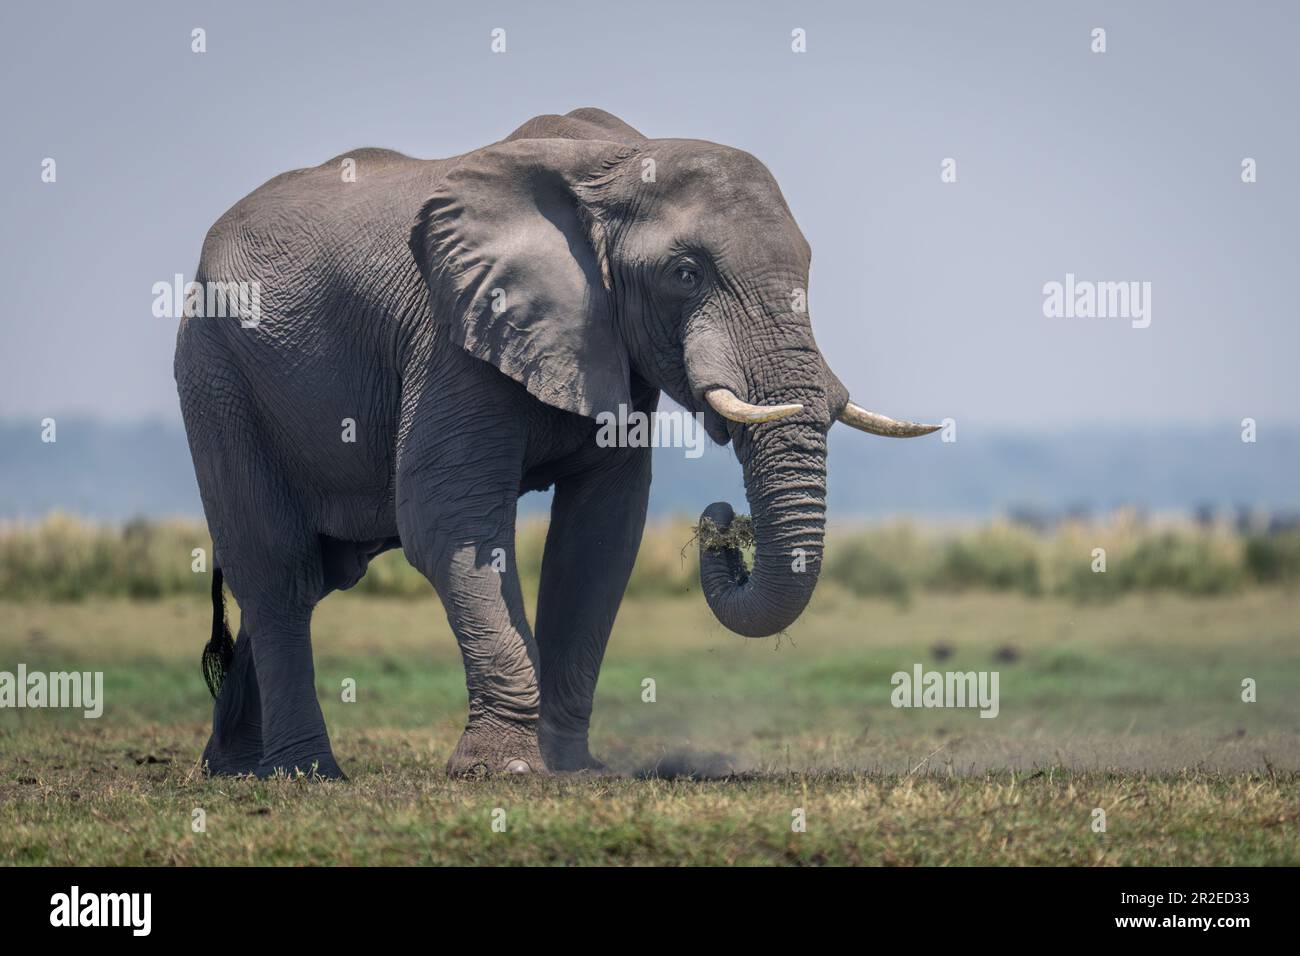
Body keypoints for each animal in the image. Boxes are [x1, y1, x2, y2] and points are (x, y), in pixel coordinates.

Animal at [174, 107, 938, 779]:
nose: (722, 522)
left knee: (318, 571)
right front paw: (507, 770)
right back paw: (305, 772)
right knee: (278, 569)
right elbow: (448, 521)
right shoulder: (452, 332)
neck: (619, 159)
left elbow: (600, 533)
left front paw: (571, 768)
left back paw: (236, 770)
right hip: (216, 376)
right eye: (685, 274)